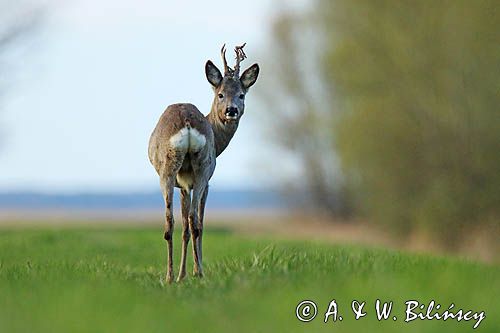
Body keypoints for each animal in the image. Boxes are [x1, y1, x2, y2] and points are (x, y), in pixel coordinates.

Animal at [148, 44, 260, 282]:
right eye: (220, 94)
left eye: (241, 94)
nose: (231, 110)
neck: (217, 140)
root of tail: (188, 123)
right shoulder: (201, 182)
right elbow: (195, 222)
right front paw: (187, 272)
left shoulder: (187, 183)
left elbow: (188, 225)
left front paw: (185, 273)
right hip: (199, 169)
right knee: (190, 221)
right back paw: (188, 273)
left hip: (174, 170)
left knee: (176, 220)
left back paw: (175, 275)